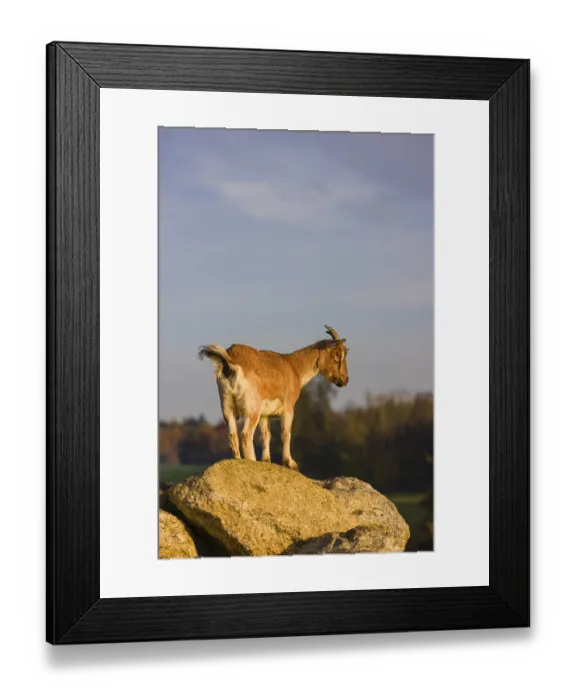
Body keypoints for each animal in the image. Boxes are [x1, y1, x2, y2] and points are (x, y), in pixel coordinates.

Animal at [198, 325, 349, 471]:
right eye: (338, 354)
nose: (345, 379)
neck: (293, 367)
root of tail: (230, 362)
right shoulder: (288, 408)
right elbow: (286, 433)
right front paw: (290, 463)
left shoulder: (264, 415)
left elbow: (266, 434)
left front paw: (266, 460)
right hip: (252, 409)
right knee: (246, 435)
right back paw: (252, 461)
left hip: (227, 406)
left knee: (232, 435)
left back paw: (238, 460)